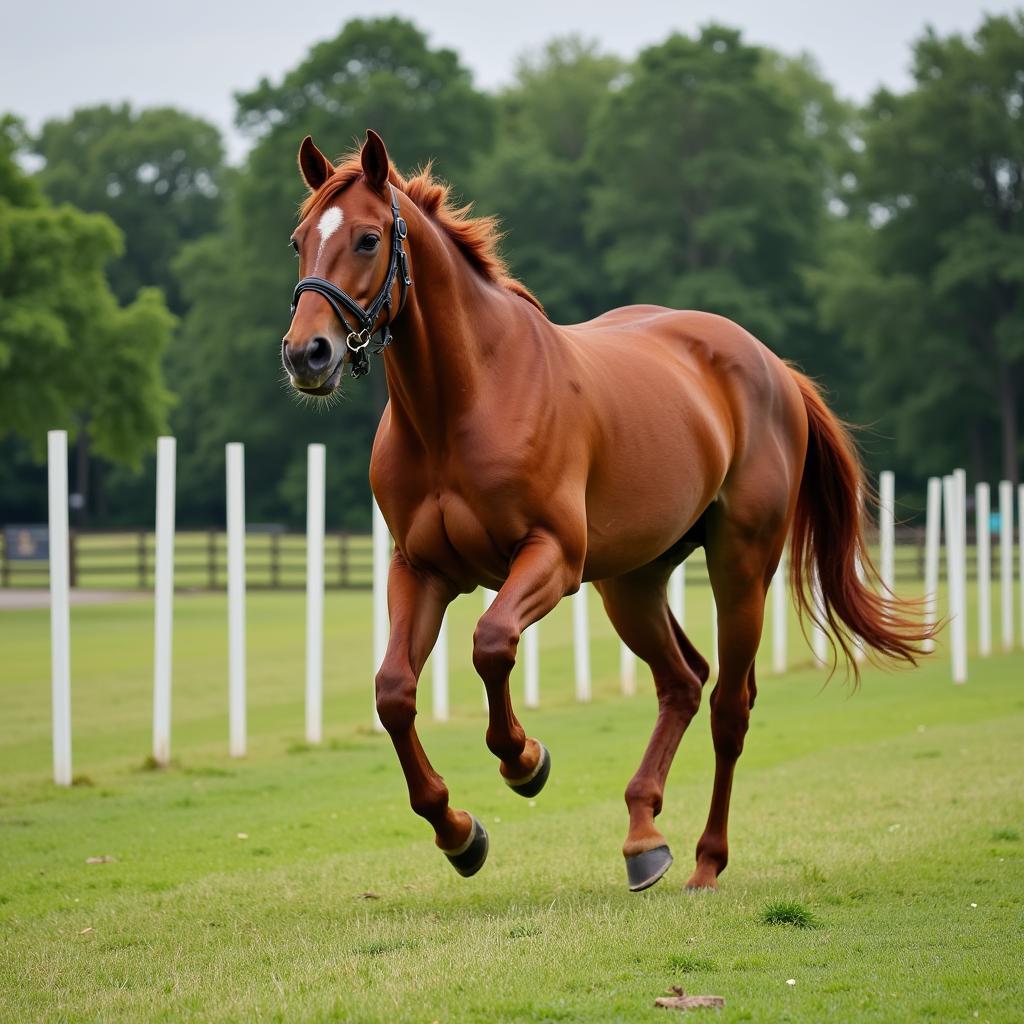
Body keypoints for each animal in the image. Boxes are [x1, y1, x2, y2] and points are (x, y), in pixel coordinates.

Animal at [282, 132, 929, 892]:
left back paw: (707, 860)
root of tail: (769, 363)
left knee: (728, 709)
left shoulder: (552, 560)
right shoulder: (422, 571)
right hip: (632, 584)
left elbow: (491, 643)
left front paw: (524, 761)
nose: (306, 354)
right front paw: (457, 831)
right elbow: (393, 692)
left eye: (367, 237)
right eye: (299, 240)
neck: (464, 403)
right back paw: (644, 838)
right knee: (682, 682)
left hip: (740, 569)